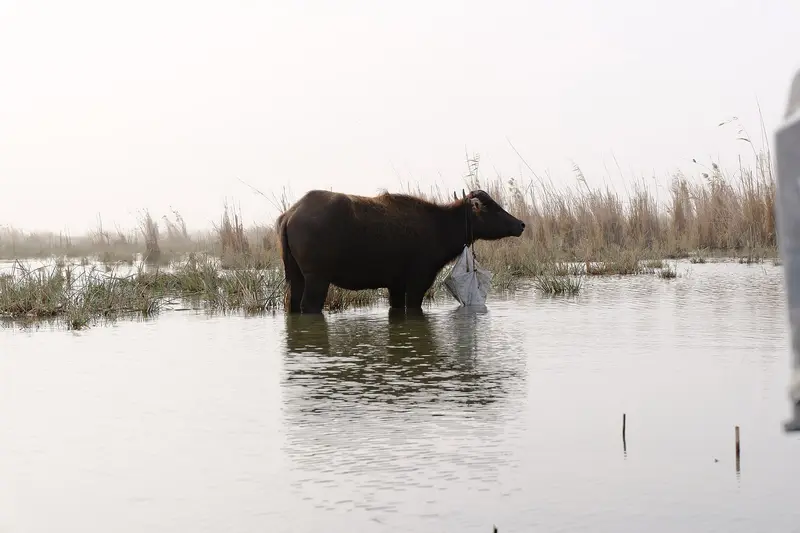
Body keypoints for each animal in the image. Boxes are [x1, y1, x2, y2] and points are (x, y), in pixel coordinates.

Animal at [276, 188, 526, 313]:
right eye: (493, 208)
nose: (521, 224)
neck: (440, 225)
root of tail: (290, 214)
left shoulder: (395, 286)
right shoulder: (418, 282)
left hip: (295, 276)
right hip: (317, 278)